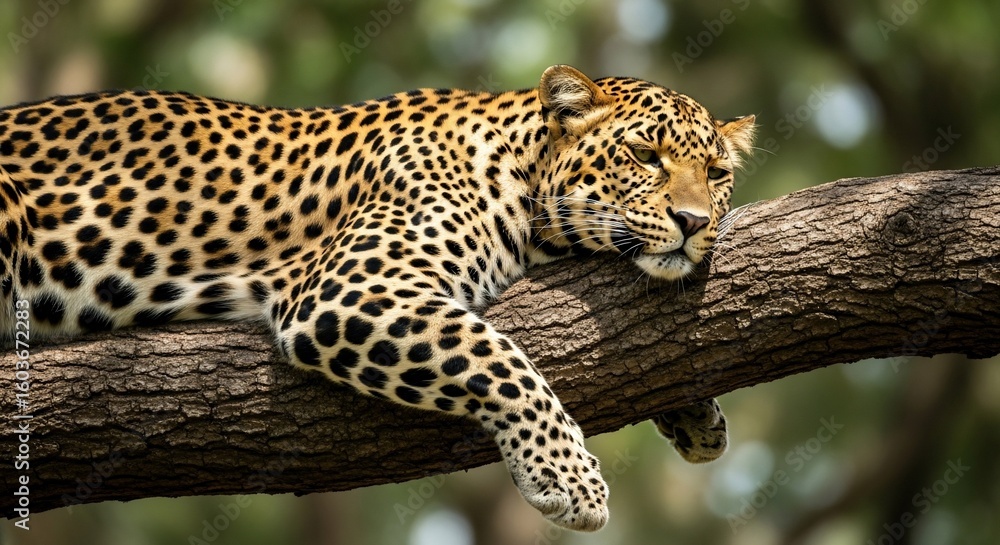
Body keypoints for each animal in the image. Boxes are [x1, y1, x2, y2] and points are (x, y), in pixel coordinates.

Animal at [0, 64, 754, 531]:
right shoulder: (348, 290)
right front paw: (568, 477)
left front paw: (697, 415)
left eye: (717, 174)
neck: (520, 168)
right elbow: (500, 356)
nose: (694, 222)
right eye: (645, 156)